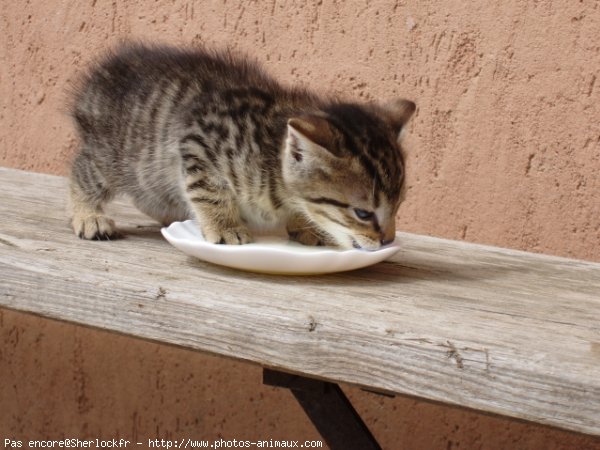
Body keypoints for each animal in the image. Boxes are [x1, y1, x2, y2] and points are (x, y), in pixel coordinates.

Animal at [68, 44, 414, 250]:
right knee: (82, 171)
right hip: (113, 154)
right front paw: (224, 226)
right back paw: (88, 216)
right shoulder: (198, 141)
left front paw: (308, 226)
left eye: (398, 206)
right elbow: (209, 191)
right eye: (362, 213)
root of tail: (93, 85)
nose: (388, 240)